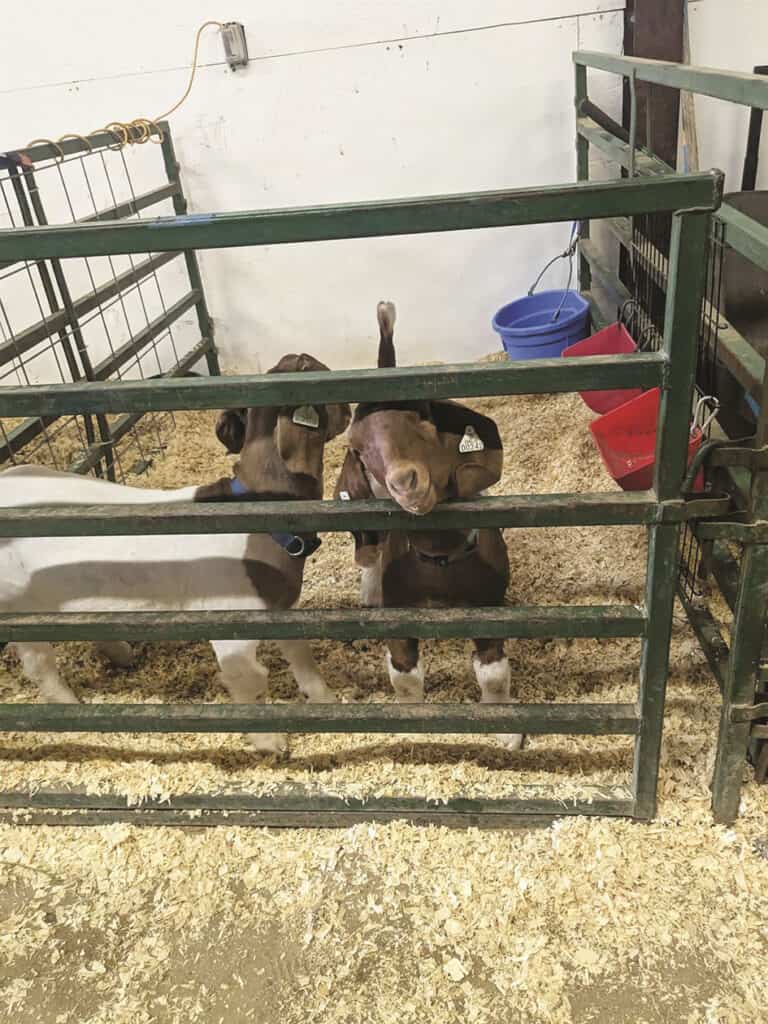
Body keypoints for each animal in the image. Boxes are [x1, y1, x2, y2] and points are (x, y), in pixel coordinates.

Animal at [335, 299, 524, 749]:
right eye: (359, 450)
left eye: (423, 418)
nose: (405, 481)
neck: (440, 559)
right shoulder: (400, 611)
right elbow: (404, 674)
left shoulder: (490, 607)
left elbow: (493, 672)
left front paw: (507, 730)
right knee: (368, 552)